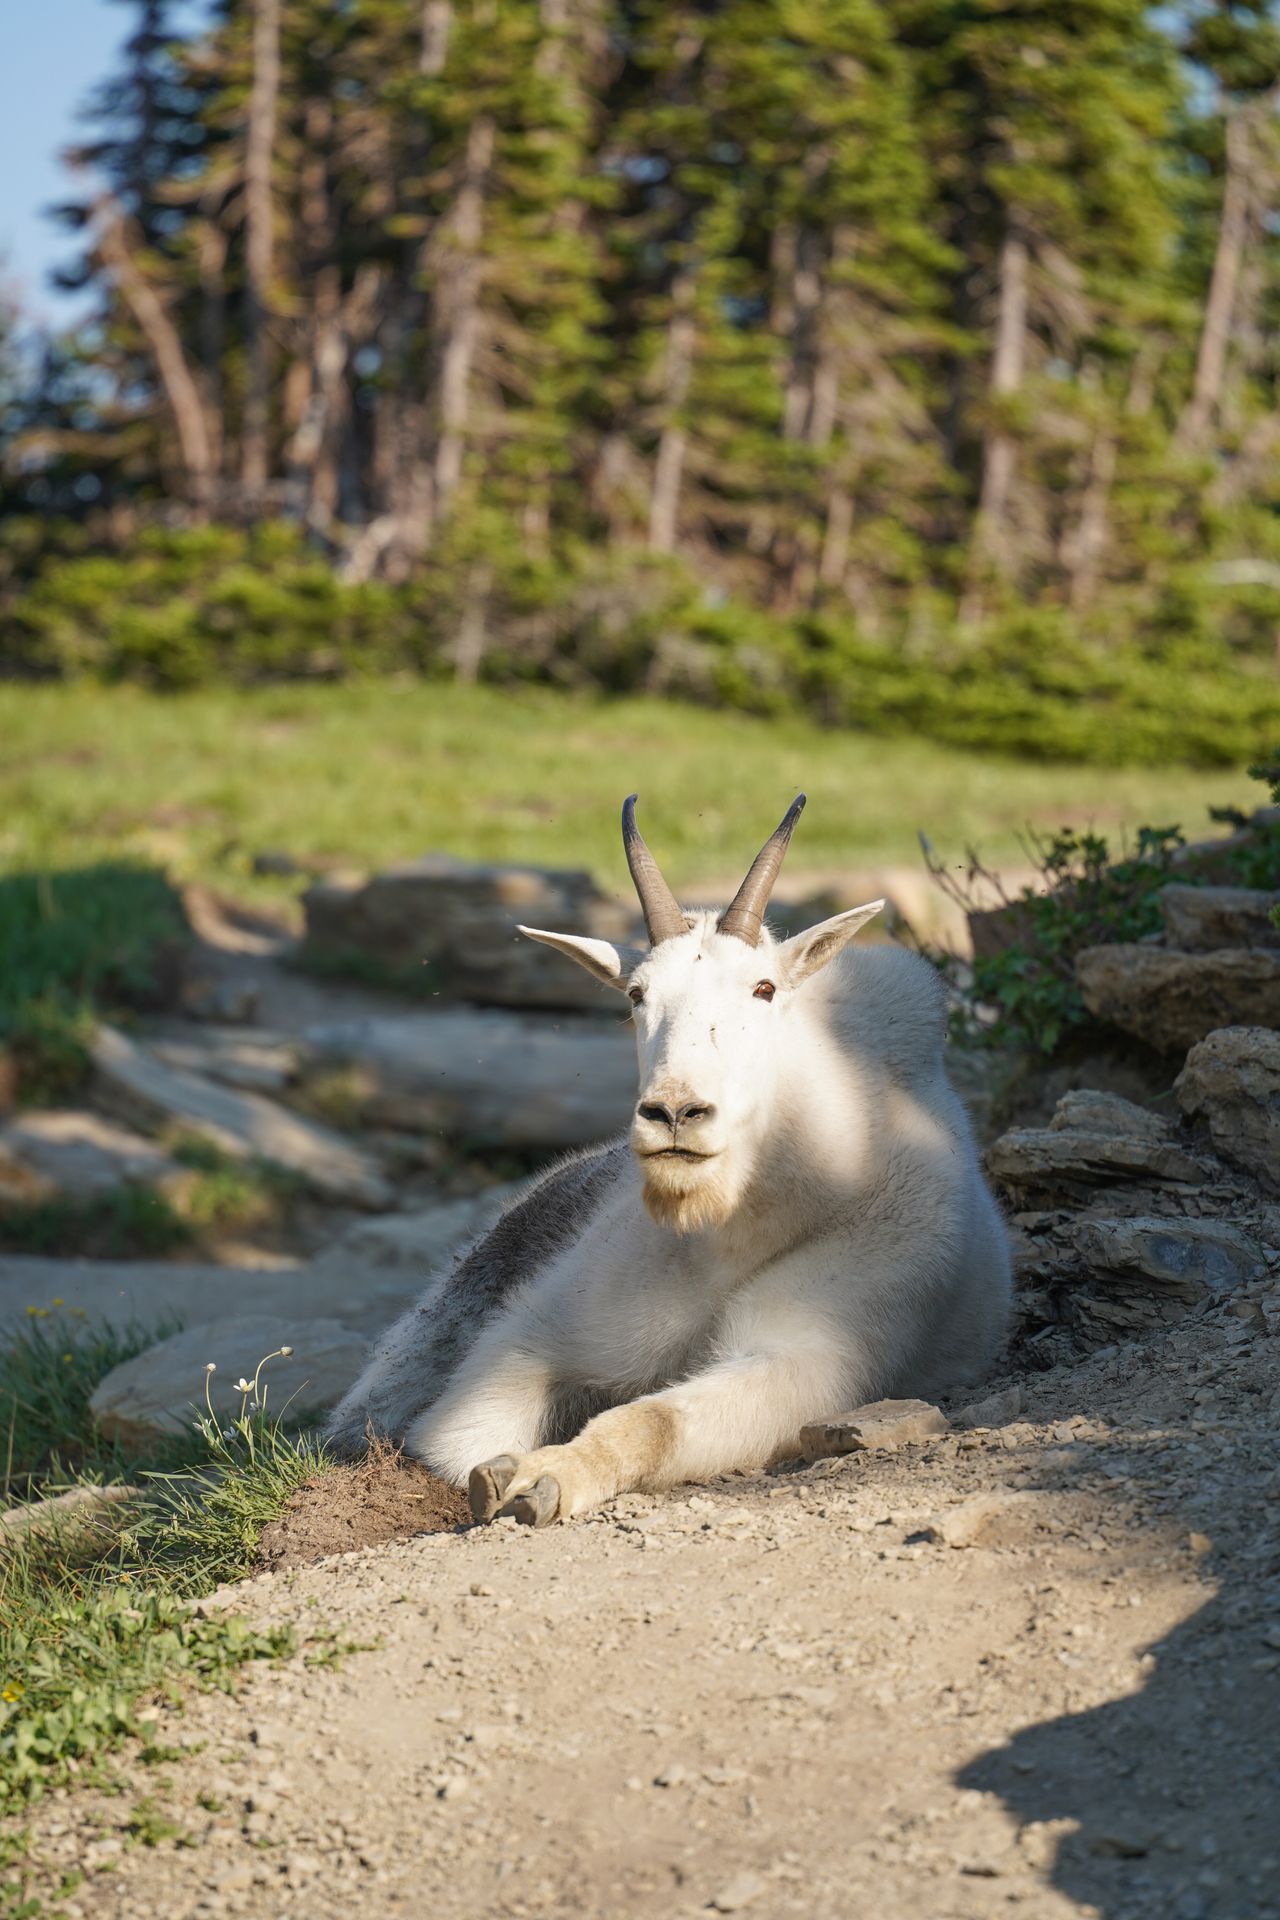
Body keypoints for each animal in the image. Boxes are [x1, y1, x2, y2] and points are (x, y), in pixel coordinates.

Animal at [326, 795, 1011, 1526]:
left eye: (764, 988)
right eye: (636, 995)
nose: (675, 1115)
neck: (735, 1227)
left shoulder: (818, 1355)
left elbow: (655, 1420)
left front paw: (545, 1477)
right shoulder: (535, 1339)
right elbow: (451, 1449)